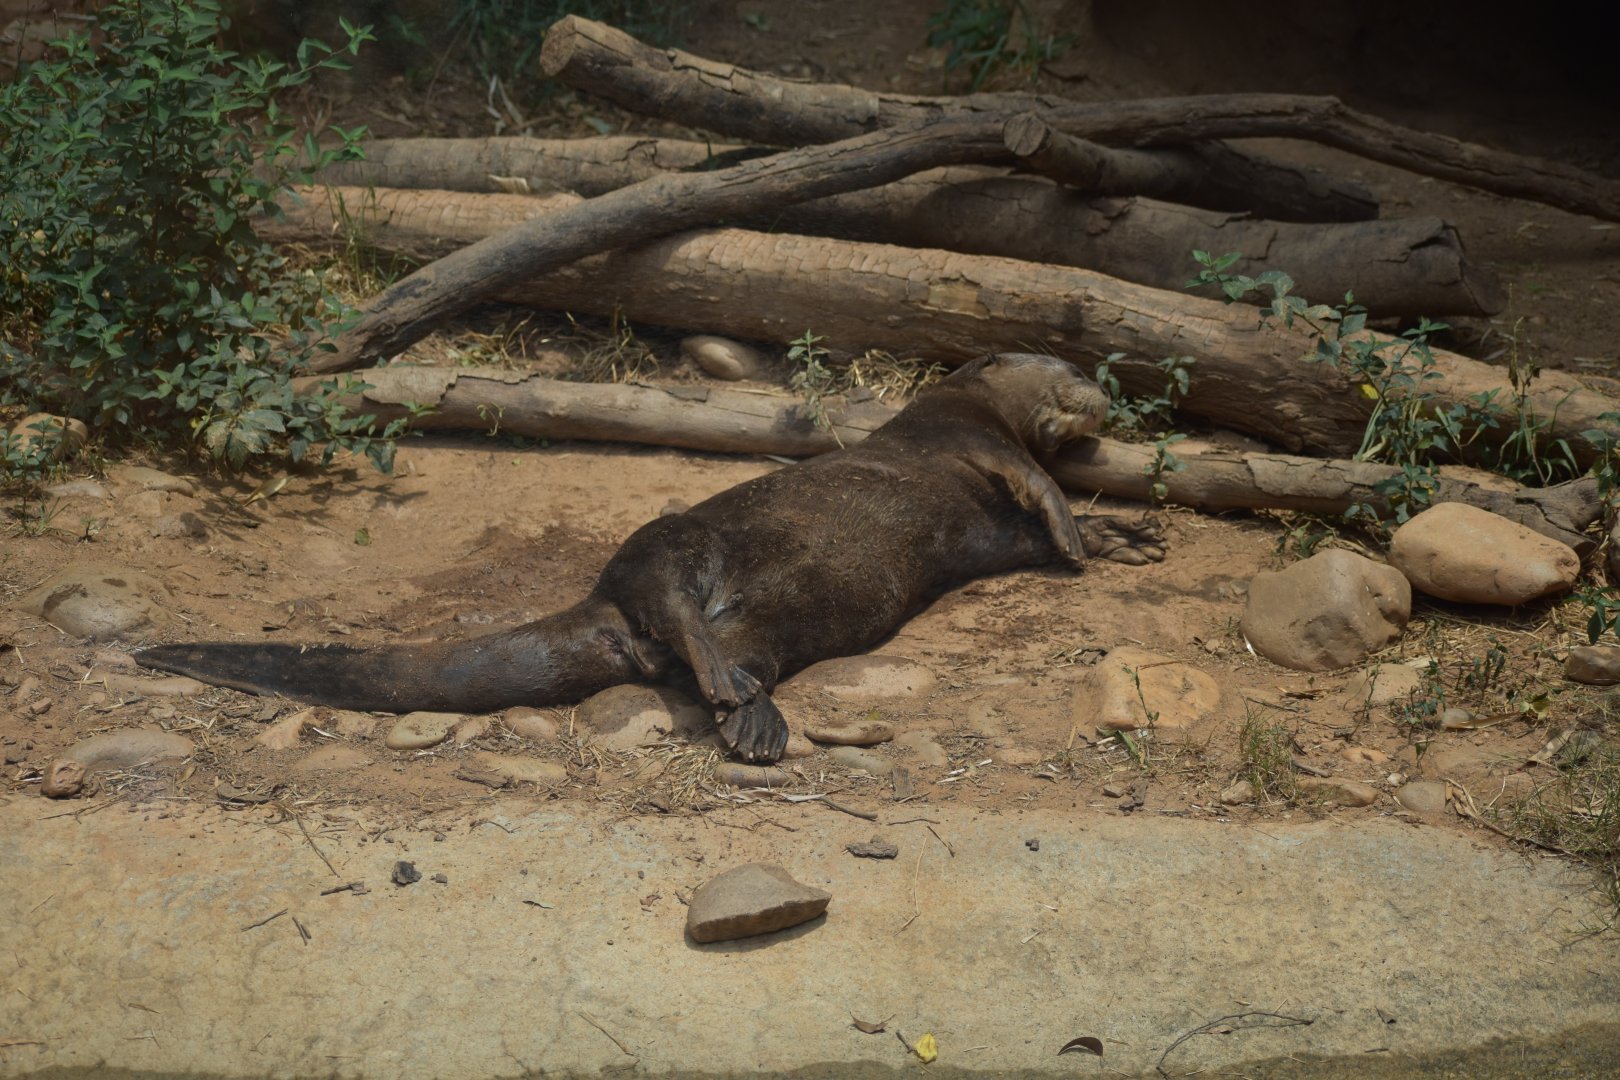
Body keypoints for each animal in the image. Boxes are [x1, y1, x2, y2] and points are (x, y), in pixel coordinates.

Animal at [137, 353, 1164, 763]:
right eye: (1073, 373)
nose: (1105, 396)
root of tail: (603, 612)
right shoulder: (965, 436)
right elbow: (1041, 488)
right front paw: (1087, 533)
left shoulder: (992, 517)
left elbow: (1033, 530)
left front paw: (1129, 535)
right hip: (668, 541)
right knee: (674, 606)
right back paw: (736, 704)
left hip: (766, 625)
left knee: (721, 655)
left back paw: (752, 719)